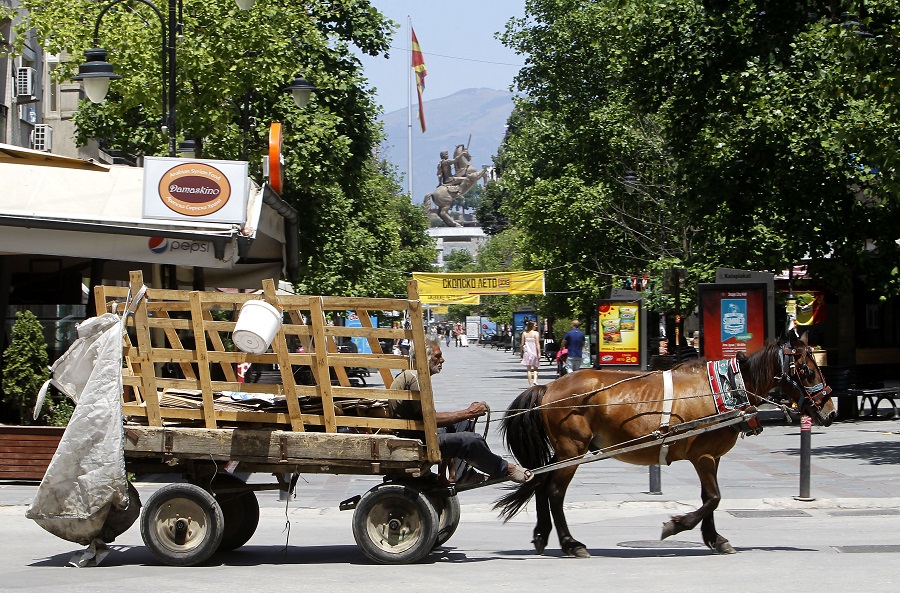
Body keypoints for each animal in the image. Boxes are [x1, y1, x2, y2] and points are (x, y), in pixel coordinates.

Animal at [496, 330, 832, 556]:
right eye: (805, 369)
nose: (828, 411)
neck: (726, 389)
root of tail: (549, 387)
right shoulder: (704, 456)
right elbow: (713, 498)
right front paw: (677, 526)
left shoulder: (711, 458)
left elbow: (708, 497)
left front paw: (714, 539)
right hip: (572, 449)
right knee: (554, 491)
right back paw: (571, 543)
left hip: (565, 452)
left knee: (540, 484)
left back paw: (542, 535)